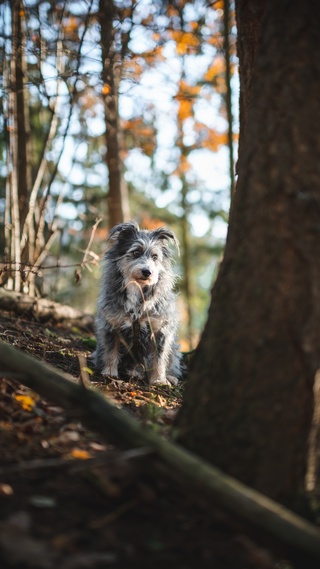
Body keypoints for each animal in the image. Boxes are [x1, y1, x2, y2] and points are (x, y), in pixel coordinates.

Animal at [93, 219, 182, 386]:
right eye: (136, 252)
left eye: (155, 256)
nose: (147, 272)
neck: (137, 289)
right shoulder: (111, 324)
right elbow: (111, 350)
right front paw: (109, 372)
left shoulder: (160, 330)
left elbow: (159, 358)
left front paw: (159, 380)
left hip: (174, 348)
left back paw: (170, 377)